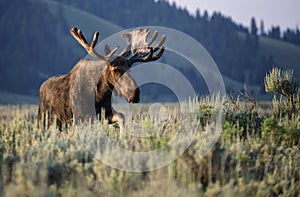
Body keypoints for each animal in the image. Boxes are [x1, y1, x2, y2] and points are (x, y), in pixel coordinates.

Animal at [37, 26, 165, 130]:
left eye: (130, 69)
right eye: (115, 70)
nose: (135, 94)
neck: (99, 95)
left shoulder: (106, 113)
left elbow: (122, 116)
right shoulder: (79, 117)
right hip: (44, 119)